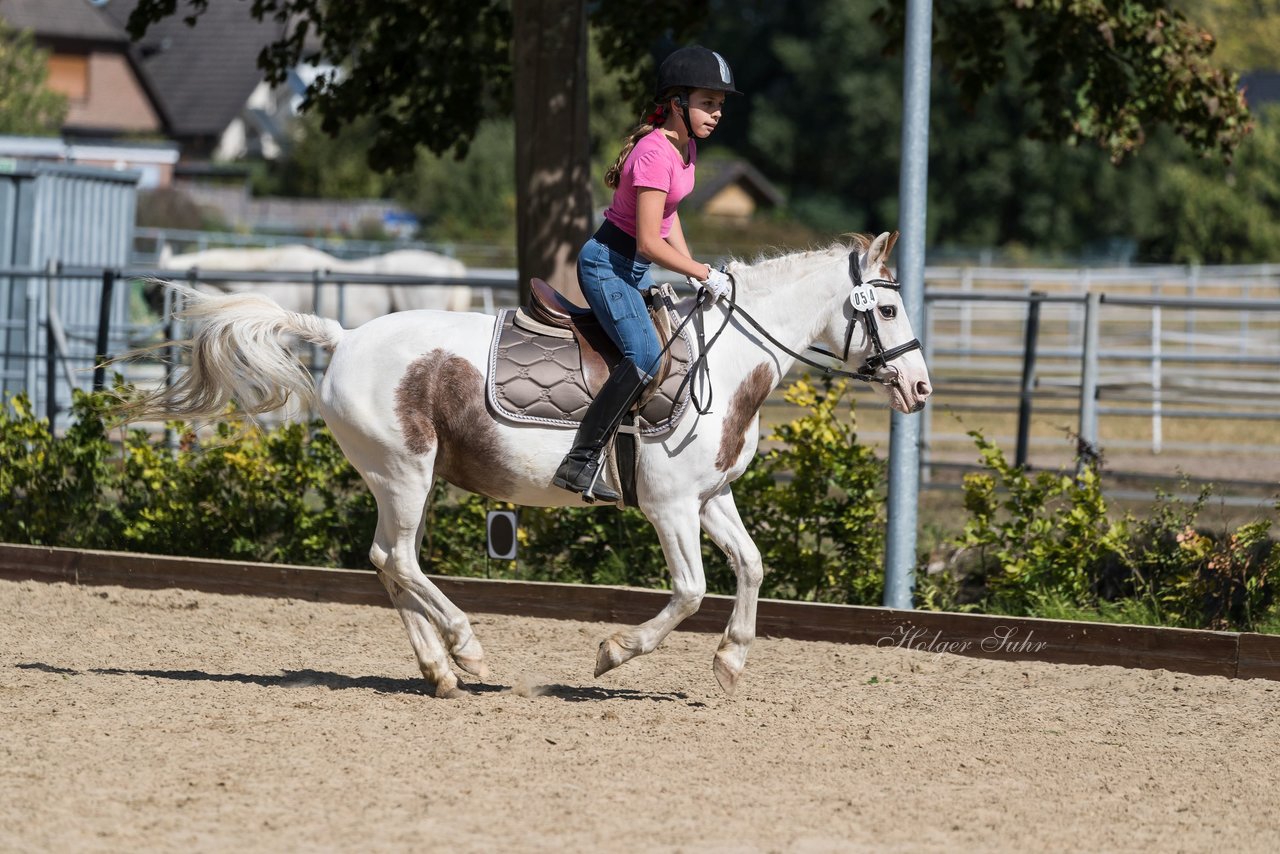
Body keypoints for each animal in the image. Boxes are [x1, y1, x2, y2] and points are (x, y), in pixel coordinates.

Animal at [127, 231, 931, 696]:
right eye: (889, 311)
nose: (921, 388)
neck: (727, 360)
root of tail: (343, 335)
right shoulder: (671, 507)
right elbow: (691, 590)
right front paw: (614, 651)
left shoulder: (710, 499)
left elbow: (752, 567)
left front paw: (731, 662)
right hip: (404, 474)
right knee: (399, 559)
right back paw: (468, 651)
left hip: (404, 481)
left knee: (388, 562)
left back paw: (440, 671)